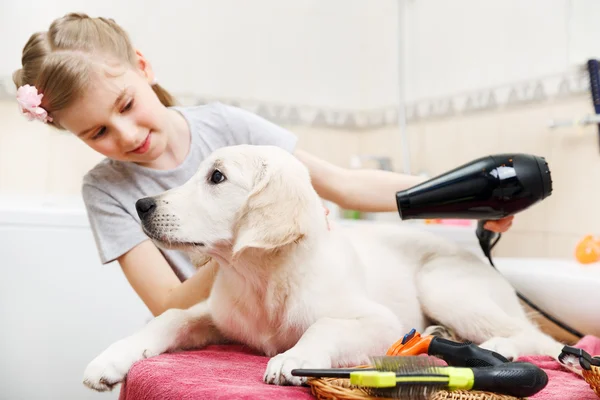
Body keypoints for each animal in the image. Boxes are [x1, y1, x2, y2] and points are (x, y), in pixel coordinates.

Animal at [83, 144, 564, 390]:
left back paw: (498, 346)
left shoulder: (377, 321)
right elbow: (171, 316)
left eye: (216, 177)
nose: (142, 206)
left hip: (443, 286)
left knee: (537, 336)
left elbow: (324, 326)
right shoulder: (215, 313)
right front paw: (111, 357)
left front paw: (293, 356)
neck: (262, 278)